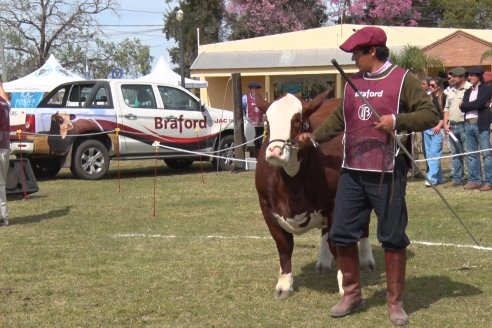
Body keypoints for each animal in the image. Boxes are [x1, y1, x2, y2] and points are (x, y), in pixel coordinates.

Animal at [256, 91, 374, 298]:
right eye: (267, 122)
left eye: (297, 121)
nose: (275, 152)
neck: (292, 185)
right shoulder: (266, 206)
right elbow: (284, 245)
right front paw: (284, 284)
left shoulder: (336, 203)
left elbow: (337, 243)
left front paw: (346, 284)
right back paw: (323, 262)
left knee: (364, 225)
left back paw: (366, 260)